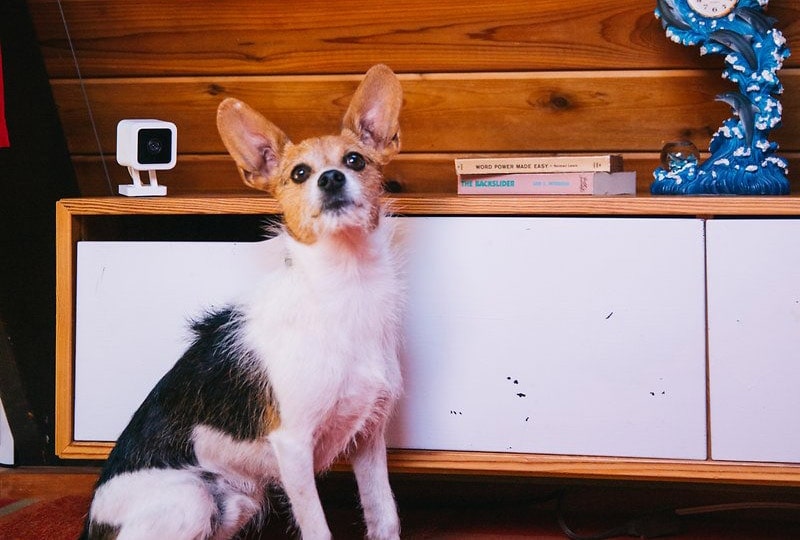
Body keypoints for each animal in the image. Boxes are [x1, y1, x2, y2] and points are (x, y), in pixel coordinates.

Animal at [80, 64, 404, 540]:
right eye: (299, 173)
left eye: (355, 160)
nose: (330, 178)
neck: (345, 286)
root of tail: (91, 523)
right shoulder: (293, 447)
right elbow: (317, 527)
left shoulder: (368, 437)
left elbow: (384, 516)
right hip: (191, 499)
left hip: (237, 501)